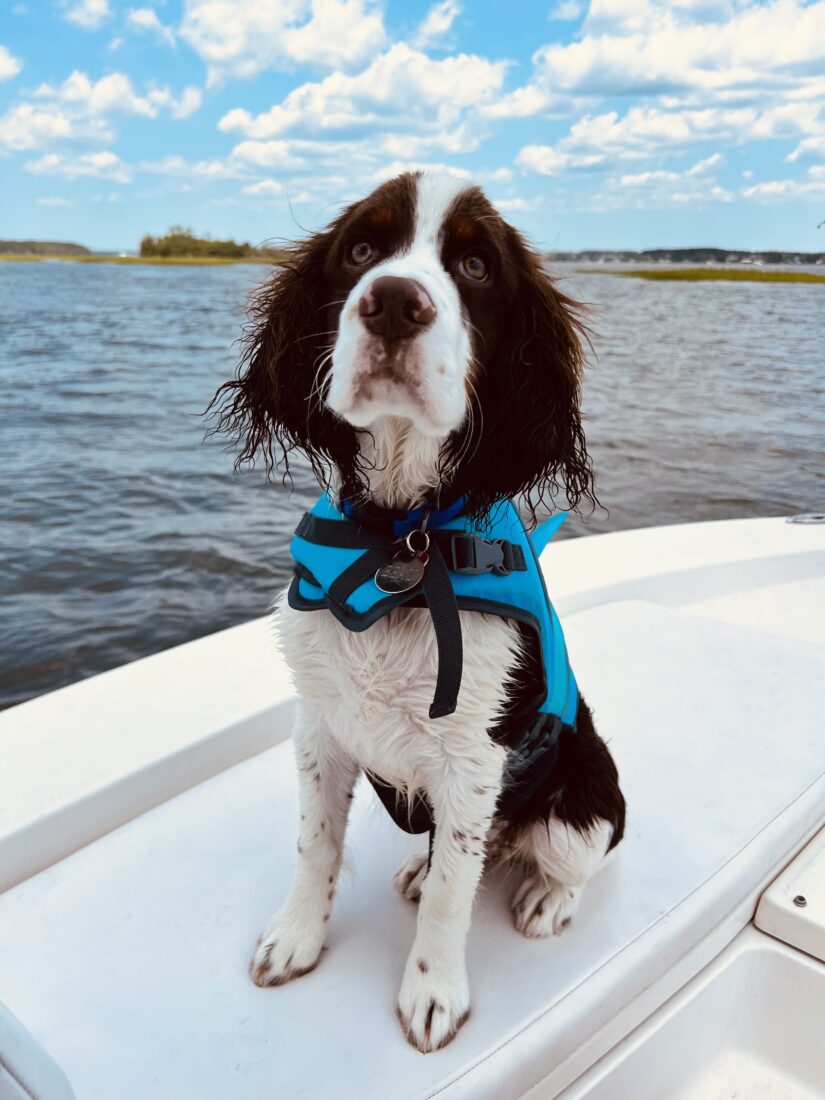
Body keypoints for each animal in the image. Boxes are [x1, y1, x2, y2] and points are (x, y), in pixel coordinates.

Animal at [213, 171, 624, 1056]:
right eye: (361, 250)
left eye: (473, 265)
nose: (395, 302)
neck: (403, 542)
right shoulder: (319, 728)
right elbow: (315, 845)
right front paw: (295, 938)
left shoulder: (472, 762)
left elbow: (450, 895)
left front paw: (433, 992)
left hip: (583, 801)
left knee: (570, 857)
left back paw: (546, 898)